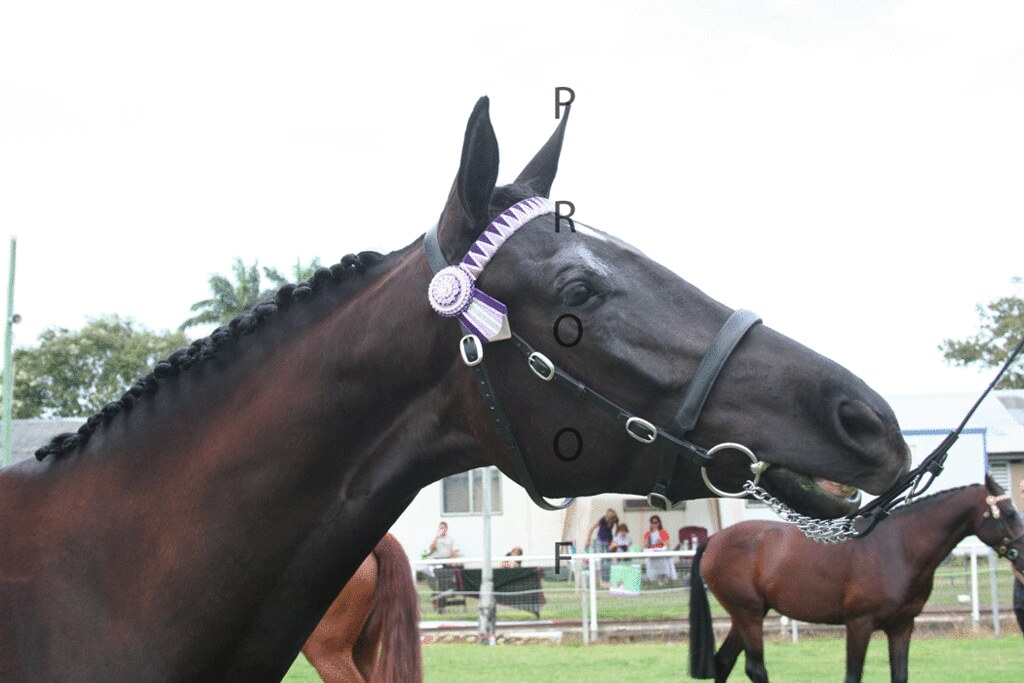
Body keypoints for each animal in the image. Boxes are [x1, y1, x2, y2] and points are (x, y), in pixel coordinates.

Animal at [689, 475, 1024, 683]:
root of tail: (714, 540)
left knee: (723, 662)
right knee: (755, 668)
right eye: (1009, 513)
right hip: (748, 615)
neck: (899, 546)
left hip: (747, 615)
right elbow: (853, 675)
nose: (1022, 554)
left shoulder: (902, 627)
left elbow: (899, 675)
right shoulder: (859, 624)